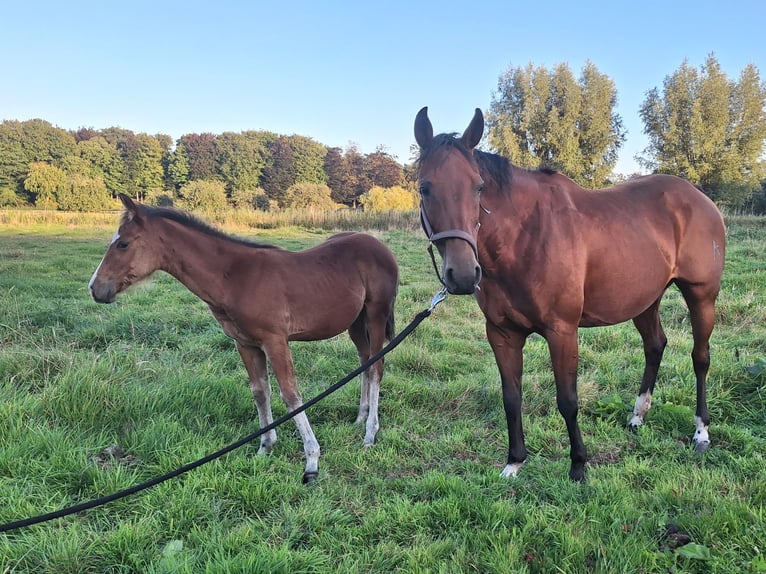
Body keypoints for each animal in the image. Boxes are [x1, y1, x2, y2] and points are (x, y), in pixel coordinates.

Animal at [89, 193, 399, 483]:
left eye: (123, 244)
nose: (95, 288)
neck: (235, 278)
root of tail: (381, 247)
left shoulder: (275, 341)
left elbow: (291, 394)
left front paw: (312, 460)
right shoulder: (246, 344)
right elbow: (260, 391)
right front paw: (265, 447)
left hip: (375, 315)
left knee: (376, 367)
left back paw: (370, 433)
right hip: (356, 322)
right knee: (365, 362)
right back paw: (360, 418)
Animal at [414, 106, 726, 481]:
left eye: (478, 187)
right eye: (424, 187)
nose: (462, 275)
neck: (525, 237)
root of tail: (701, 199)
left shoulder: (562, 331)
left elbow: (567, 400)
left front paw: (578, 465)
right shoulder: (502, 333)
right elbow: (511, 397)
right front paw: (514, 462)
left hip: (701, 296)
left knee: (700, 357)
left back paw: (701, 432)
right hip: (645, 300)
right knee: (655, 346)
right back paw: (637, 417)